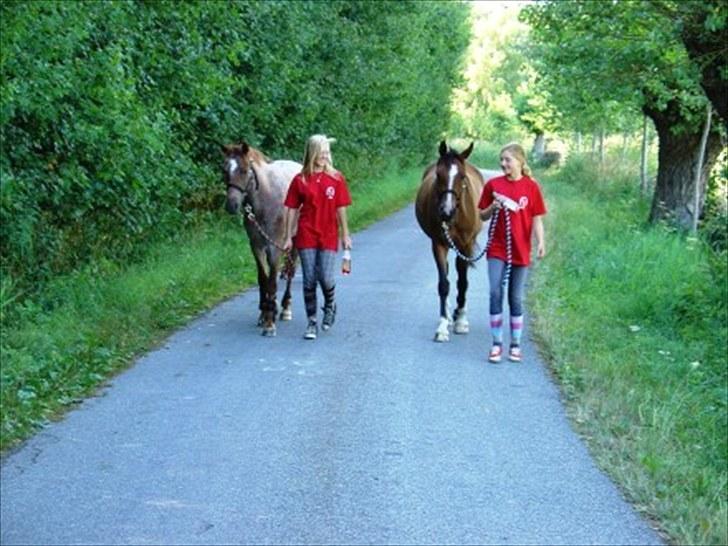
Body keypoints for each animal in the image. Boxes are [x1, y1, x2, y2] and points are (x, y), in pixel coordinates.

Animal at [222, 142, 302, 334]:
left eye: (244, 170)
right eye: (224, 170)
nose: (231, 205)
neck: (265, 201)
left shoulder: (275, 247)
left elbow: (272, 281)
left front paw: (270, 322)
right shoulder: (256, 246)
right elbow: (263, 279)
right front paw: (265, 313)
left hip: (295, 239)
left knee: (290, 270)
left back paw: (286, 307)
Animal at [418, 139, 486, 340]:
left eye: (462, 176)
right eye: (438, 174)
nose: (446, 211)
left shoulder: (464, 246)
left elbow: (463, 282)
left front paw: (461, 320)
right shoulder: (438, 244)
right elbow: (443, 284)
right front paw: (442, 325)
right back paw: (448, 314)